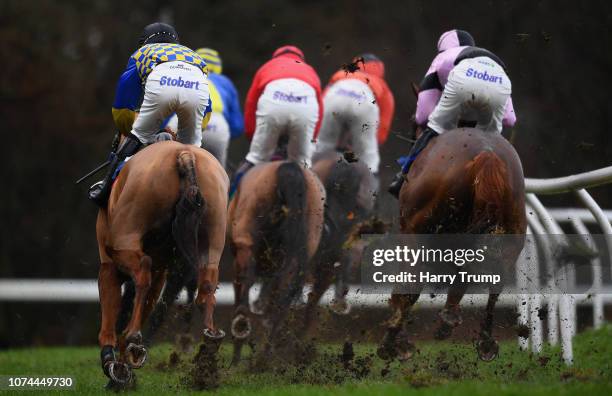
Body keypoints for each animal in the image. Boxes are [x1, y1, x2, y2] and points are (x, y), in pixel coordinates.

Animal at [95, 141, 230, 386]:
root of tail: (185, 154)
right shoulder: (161, 270)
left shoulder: (109, 263)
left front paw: (113, 364)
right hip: (213, 236)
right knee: (206, 289)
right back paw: (209, 349)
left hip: (126, 235)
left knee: (142, 271)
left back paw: (133, 338)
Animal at [227, 161, 326, 366]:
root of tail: (290, 169)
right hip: (294, 262)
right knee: (278, 309)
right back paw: (262, 359)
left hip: (246, 250)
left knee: (243, 307)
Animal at [378, 87, 524, 362]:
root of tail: (487, 155)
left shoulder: (411, 232)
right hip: (512, 232)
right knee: (495, 284)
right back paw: (482, 340)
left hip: (419, 231)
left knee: (412, 286)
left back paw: (391, 344)